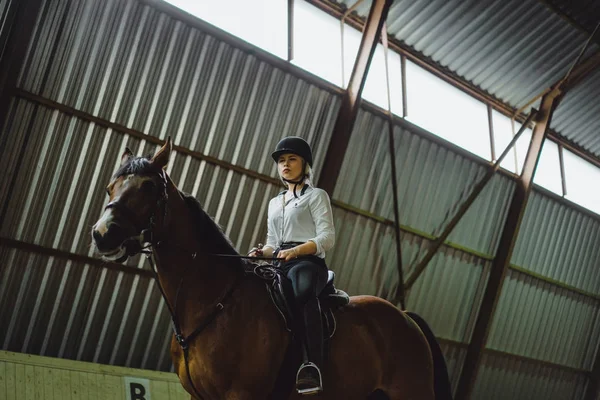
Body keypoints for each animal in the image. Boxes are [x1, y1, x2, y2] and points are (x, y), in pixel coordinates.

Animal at [91, 138, 452, 400]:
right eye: (111, 187)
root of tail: (405, 317)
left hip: (411, 392)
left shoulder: (241, 395)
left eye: (148, 187)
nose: (102, 234)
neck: (214, 302)